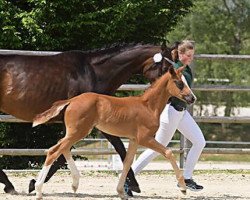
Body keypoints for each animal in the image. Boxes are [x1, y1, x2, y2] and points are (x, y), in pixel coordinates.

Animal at [0, 43, 176, 195]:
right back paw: (9, 185)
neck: (94, 72)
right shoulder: (89, 122)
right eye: (166, 69)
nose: (172, 99)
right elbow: (118, 147)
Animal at [31, 63, 195, 199]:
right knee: (53, 151)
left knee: (62, 147)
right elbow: (168, 152)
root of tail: (71, 101)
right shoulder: (145, 138)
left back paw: (74, 183)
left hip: (75, 132)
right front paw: (183, 188)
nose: (192, 98)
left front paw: (121, 192)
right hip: (79, 131)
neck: (148, 106)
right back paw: (39, 190)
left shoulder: (134, 140)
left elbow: (127, 162)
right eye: (179, 83)